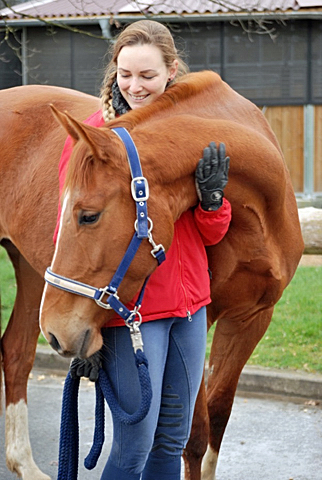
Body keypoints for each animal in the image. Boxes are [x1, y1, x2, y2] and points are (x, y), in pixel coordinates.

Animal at [0, 72, 304, 480]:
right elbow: (195, 434)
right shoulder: (202, 316)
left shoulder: (252, 318)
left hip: (34, 274)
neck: (259, 214)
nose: (58, 332)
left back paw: (25, 465)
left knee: (17, 351)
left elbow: (217, 418)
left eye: (88, 215)